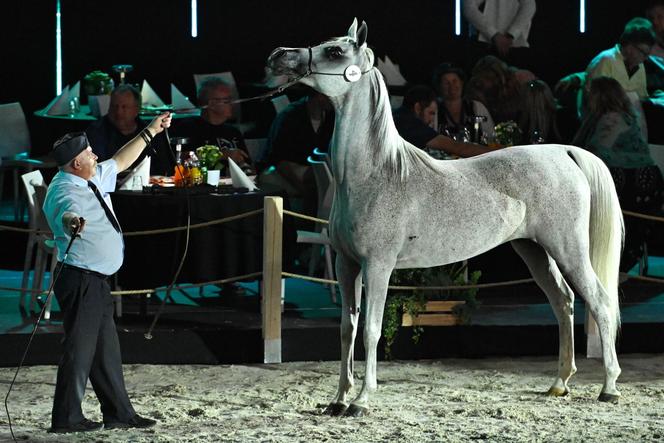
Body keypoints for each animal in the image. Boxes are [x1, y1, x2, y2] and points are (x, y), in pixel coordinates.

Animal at [268, 19, 624, 418]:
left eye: (334, 51)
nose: (278, 56)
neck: (375, 173)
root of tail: (563, 152)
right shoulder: (347, 266)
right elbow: (348, 328)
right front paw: (339, 399)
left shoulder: (378, 266)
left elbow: (371, 330)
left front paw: (361, 400)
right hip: (534, 251)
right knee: (563, 302)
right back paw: (559, 383)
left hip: (569, 249)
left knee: (599, 301)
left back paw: (609, 388)